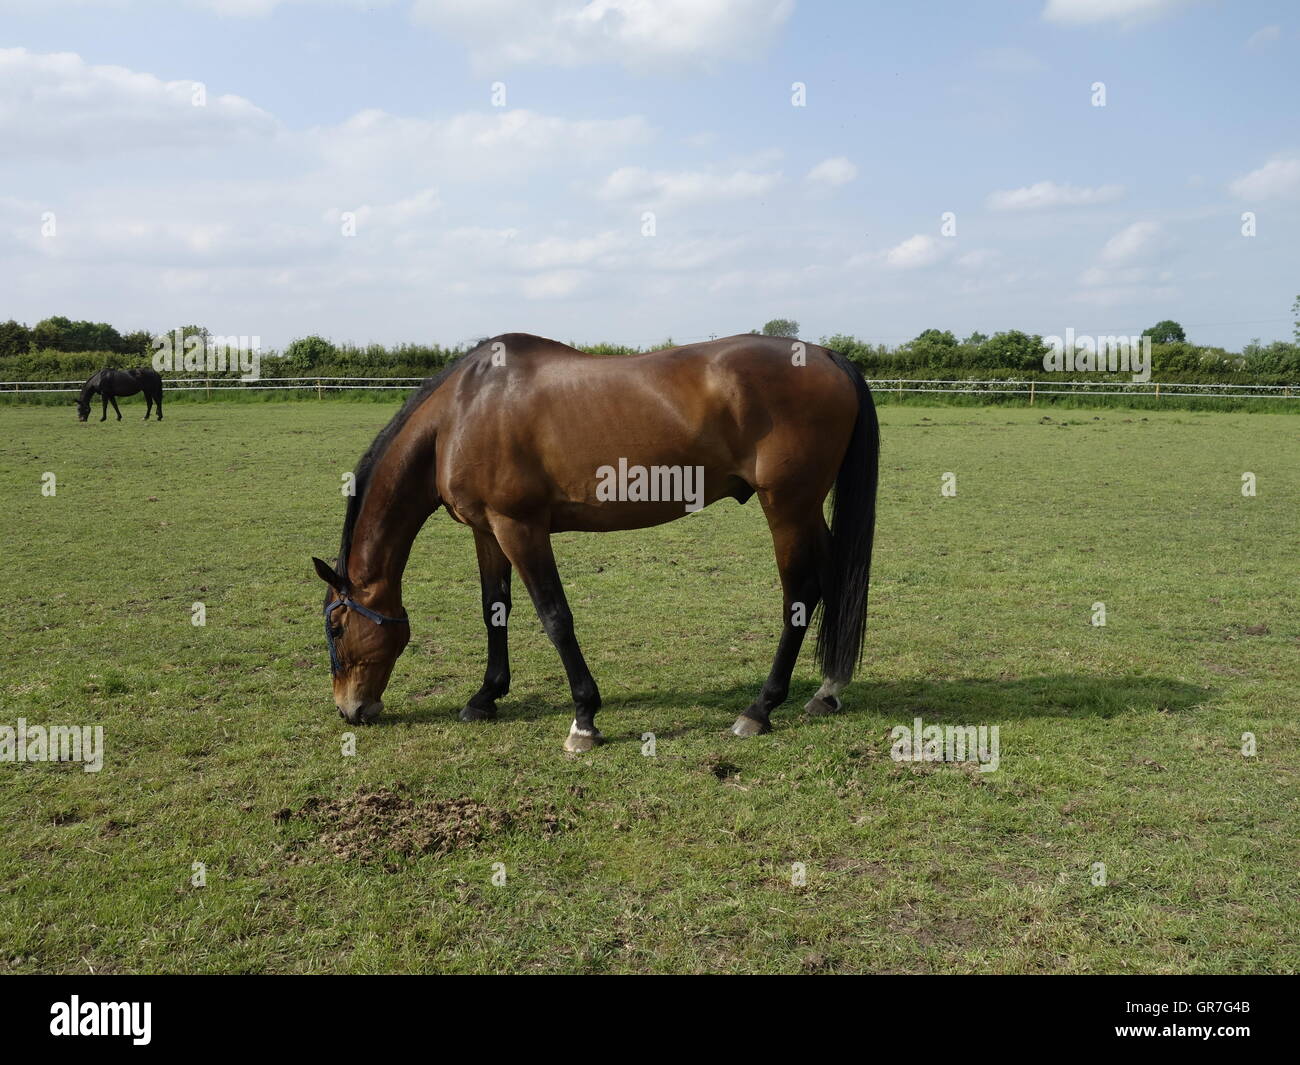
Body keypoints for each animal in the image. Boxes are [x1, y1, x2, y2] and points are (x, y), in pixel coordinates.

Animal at [310, 332, 878, 749]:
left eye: (336, 628)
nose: (351, 710)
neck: (462, 413)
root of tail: (826, 355)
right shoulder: (487, 530)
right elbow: (495, 609)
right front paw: (485, 697)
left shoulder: (520, 527)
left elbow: (555, 617)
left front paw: (584, 717)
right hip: (805, 510)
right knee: (833, 581)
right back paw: (827, 691)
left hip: (786, 507)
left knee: (801, 595)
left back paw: (759, 708)